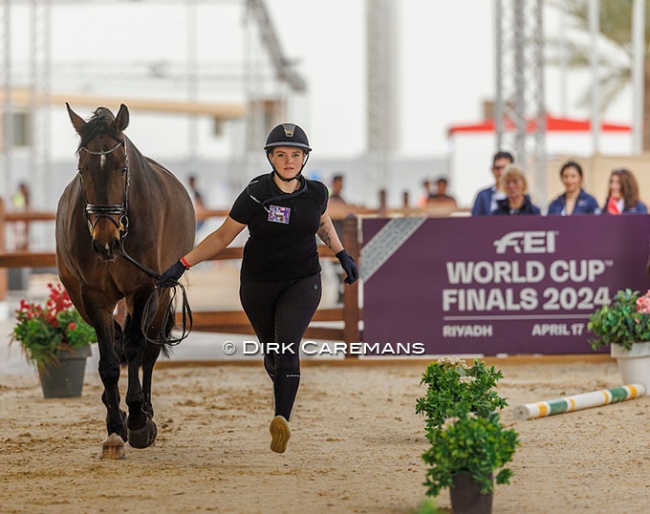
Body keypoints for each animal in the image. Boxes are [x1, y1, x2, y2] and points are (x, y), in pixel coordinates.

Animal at [56, 103, 194, 456]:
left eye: (121, 169)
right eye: (82, 170)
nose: (105, 242)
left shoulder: (144, 289)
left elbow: (135, 348)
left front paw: (138, 421)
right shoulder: (93, 296)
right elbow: (108, 361)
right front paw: (115, 428)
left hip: (160, 298)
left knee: (148, 351)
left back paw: (145, 411)